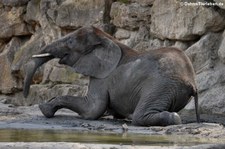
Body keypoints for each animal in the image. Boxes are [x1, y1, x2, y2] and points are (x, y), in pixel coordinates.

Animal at [23, 25, 200, 125]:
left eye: (71, 42)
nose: (25, 96)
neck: (107, 38)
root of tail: (192, 82)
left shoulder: (102, 77)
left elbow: (92, 109)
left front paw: (44, 108)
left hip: (161, 86)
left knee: (140, 116)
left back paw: (170, 118)